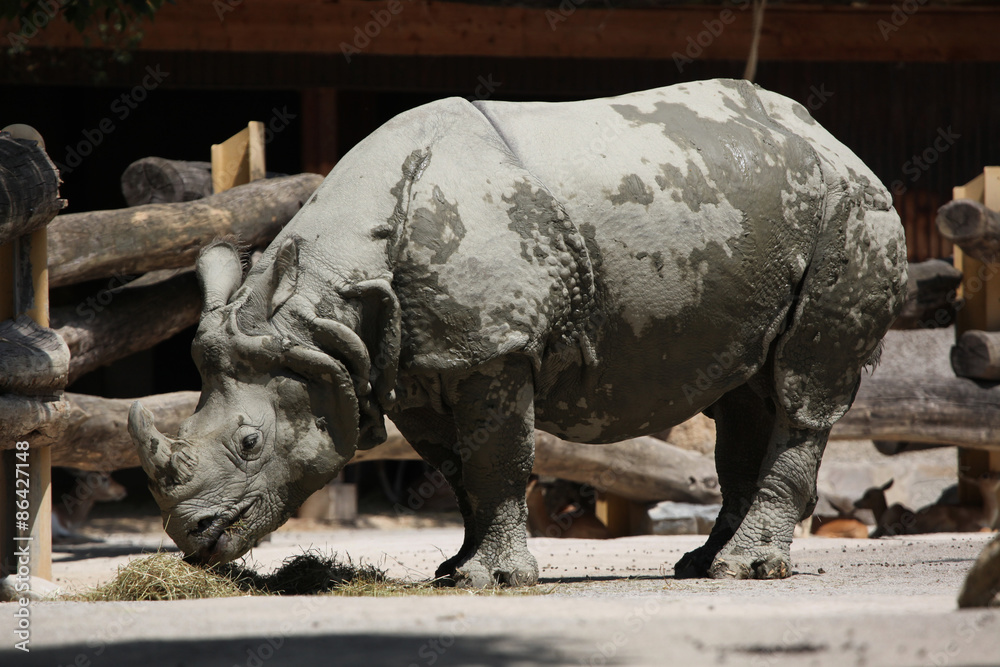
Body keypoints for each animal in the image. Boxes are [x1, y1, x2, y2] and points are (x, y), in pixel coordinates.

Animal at [128, 79, 906, 585]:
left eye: (250, 444)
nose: (190, 534)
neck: (326, 304)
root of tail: (836, 142)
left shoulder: (493, 350)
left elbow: (497, 459)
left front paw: (497, 580)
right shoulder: (410, 364)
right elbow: (458, 468)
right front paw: (455, 570)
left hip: (851, 211)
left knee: (803, 385)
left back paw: (749, 568)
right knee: (745, 393)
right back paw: (703, 565)